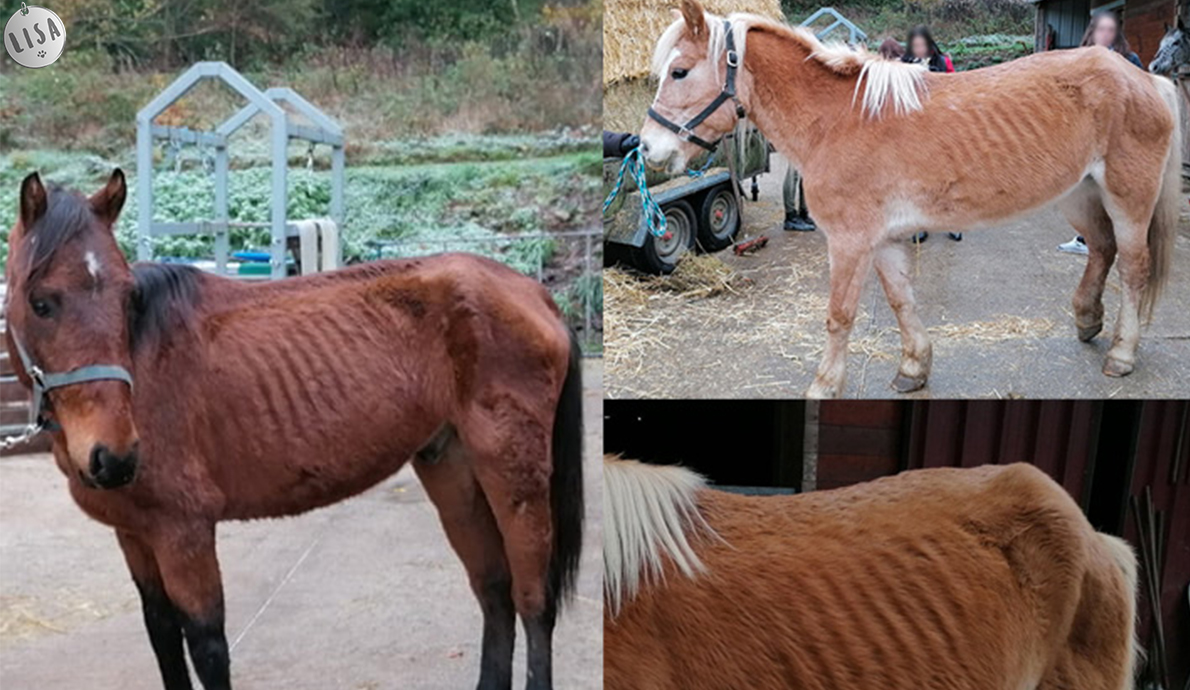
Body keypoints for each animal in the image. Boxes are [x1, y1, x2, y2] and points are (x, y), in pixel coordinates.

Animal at [4, 168, 585, 690]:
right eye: (41, 302)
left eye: (127, 298)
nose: (116, 456)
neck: (145, 367)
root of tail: (533, 292)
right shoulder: (135, 534)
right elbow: (164, 637)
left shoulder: (184, 533)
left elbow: (207, 647)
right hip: (453, 470)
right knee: (494, 592)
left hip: (514, 478)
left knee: (533, 600)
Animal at [642, 1, 1180, 399]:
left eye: (680, 72)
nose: (648, 148)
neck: (839, 119)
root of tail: (1147, 79)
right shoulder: (883, 239)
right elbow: (902, 301)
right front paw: (914, 369)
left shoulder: (850, 242)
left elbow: (839, 316)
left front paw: (824, 386)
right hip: (1080, 195)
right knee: (1102, 249)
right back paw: (1088, 320)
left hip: (1128, 198)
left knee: (1133, 266)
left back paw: (1121, 354)